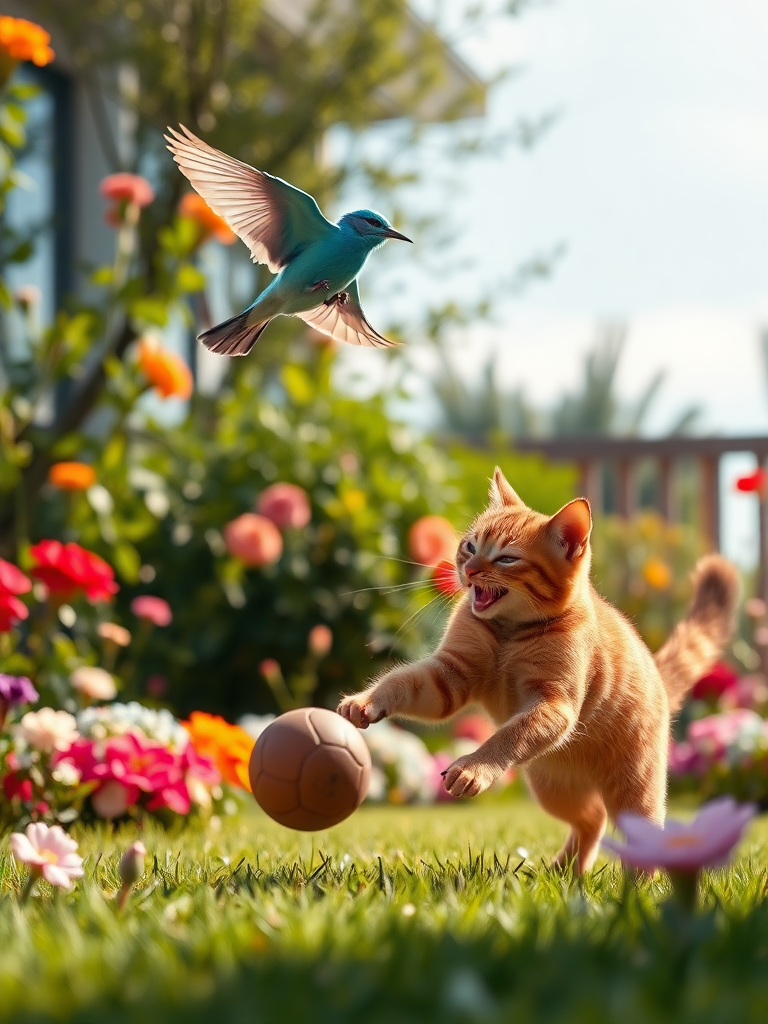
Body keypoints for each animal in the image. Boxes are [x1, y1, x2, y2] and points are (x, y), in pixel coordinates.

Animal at [339, 468, 741, 868]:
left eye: (505, 559)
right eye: (470, 546)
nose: (468, 569)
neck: (509, 632)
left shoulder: (553, 704)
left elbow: (507, 736)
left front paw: (474, 767)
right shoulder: (448, 678)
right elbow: (399, 682)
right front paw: (365, 702)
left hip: (635, 792)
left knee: (641, 835)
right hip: (555, 790)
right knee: (592, 818)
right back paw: (566, 871)